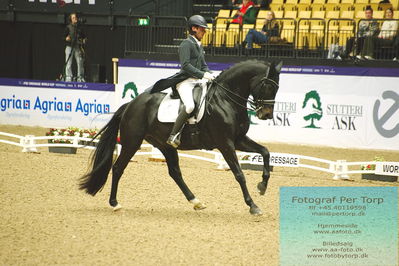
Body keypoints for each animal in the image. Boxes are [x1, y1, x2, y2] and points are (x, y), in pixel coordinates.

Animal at [79, 59, 282, 215]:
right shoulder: (225, 143)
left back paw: (196, 202)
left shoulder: (238, 139)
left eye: (277, 88)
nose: (266, 114)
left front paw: (262, 185)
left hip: (165, 145)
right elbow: (239, 174)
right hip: (132, 142)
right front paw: (253, 205)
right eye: (267, 85)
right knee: (118, 168)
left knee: (175, 172)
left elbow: (265, 152)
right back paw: (114, 203)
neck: (225, 99)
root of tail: (130, 105)